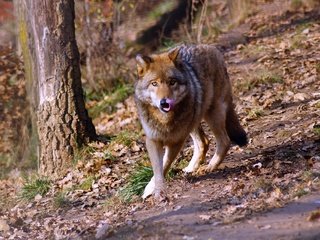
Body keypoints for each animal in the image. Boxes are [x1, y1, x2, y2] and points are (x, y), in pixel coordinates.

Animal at [134, 44, 246, 200]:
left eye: (172, 82)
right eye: (154, 84)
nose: (164, 103)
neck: (164, 120)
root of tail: (211, 48)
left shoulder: (176, 141)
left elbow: (164, 165)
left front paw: (155, 190)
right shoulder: (153, 140)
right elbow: (157, 169)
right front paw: (153, 189)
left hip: (212, 114)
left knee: (224, 140)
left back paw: (210, 166)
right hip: (194, 120)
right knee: (204, 142)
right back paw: (192, 168)